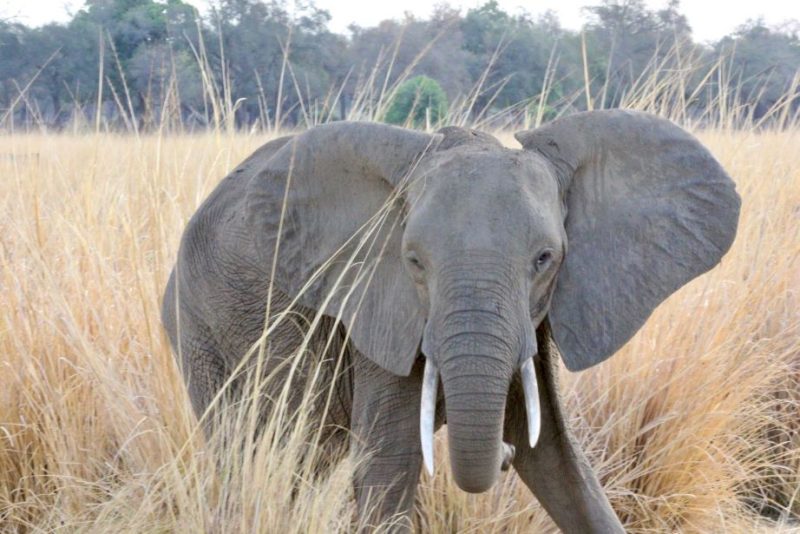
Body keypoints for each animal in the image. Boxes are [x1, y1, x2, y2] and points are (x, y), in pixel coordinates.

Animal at [159, 111, 740, 532]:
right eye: (414, 261)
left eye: (545, 259)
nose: (501, 455)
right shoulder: (379, 307)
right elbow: (387, 469)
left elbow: (558, 460)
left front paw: (531, 448)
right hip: (200, 331)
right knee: (248, 452)